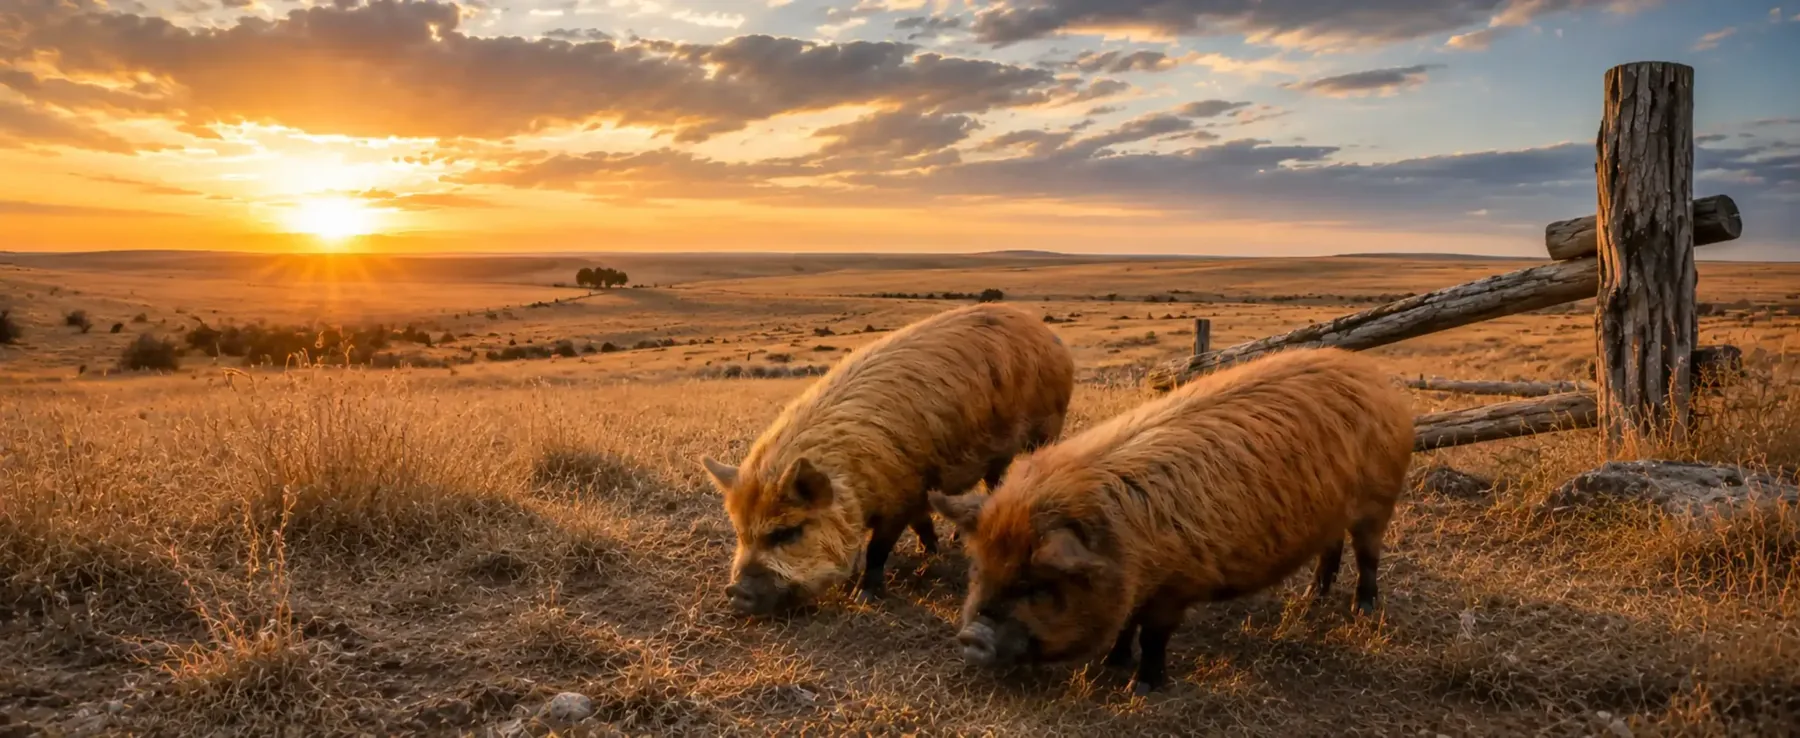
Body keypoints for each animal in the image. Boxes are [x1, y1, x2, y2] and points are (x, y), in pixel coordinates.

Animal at [701, 303, 1075, 616]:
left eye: (787, 533)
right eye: (740, 533)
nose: (734, 592)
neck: (854, 481)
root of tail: (1046, 332)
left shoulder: (902, 492)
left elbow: (880, 546)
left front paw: (865, 595)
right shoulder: (917, 488)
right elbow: (921, 522)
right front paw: (930, 551)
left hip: (1048, 425)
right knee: (994, 479)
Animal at [931, 347, 1413, 694]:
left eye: (1036, 585)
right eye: (979, 570)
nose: (971, 637)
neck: (1124, 546)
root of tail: (1376, 377)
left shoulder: (1176, 585)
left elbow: (1154, 635)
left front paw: (1144, 687)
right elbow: (1127, 624)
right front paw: (1113, 664)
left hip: (1380, 498)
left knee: (1368, 554)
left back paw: (1363, 609)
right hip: (1334, 511)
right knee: (1331, 547)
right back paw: (1314, 596)